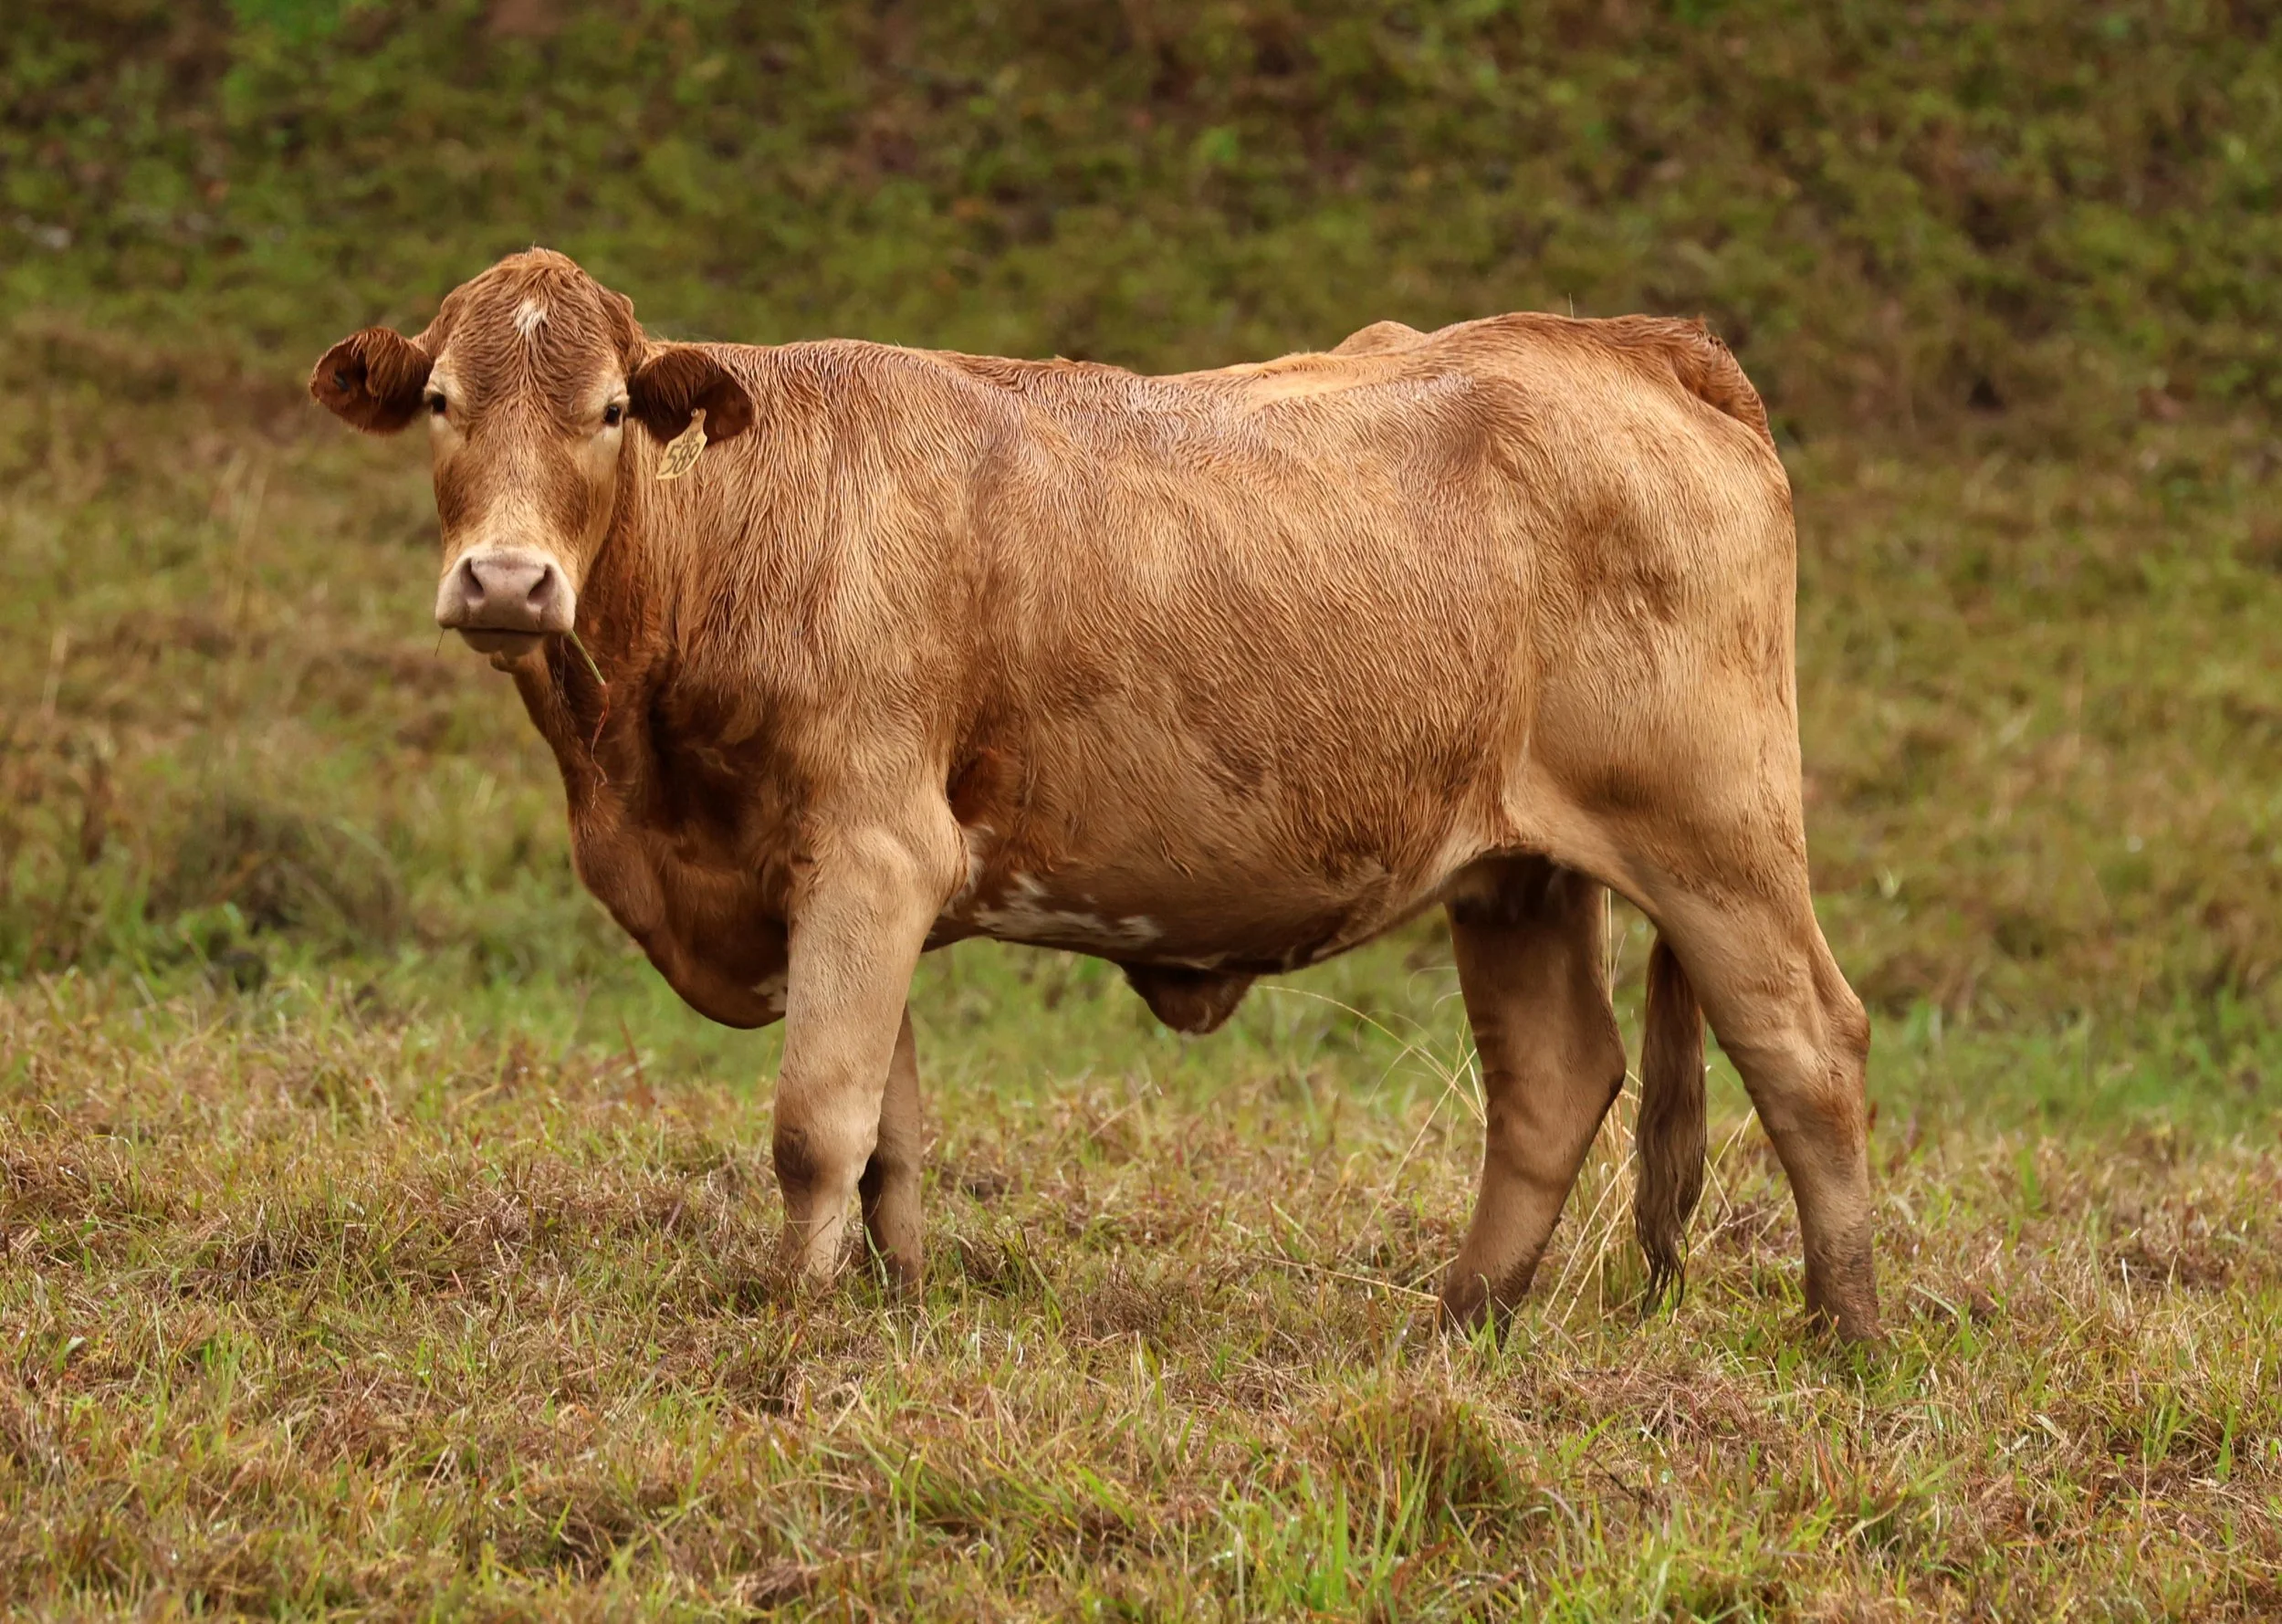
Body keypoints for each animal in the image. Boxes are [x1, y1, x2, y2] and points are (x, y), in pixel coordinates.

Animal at [310, 249, 1881, 1343]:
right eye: (443, 401)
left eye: (611, 412)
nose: (508, 579)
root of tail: (1622, 341)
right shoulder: (850, 882)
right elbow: (893, 1134)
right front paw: (898, 1308)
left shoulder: (870, 849)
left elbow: (818, 1123)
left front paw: (790, 1333)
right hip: (1516, 872)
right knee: (1552, 1082)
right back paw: (1455, 1326)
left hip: (1716, 834)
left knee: (1809, 1050)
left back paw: (1843, 1331)